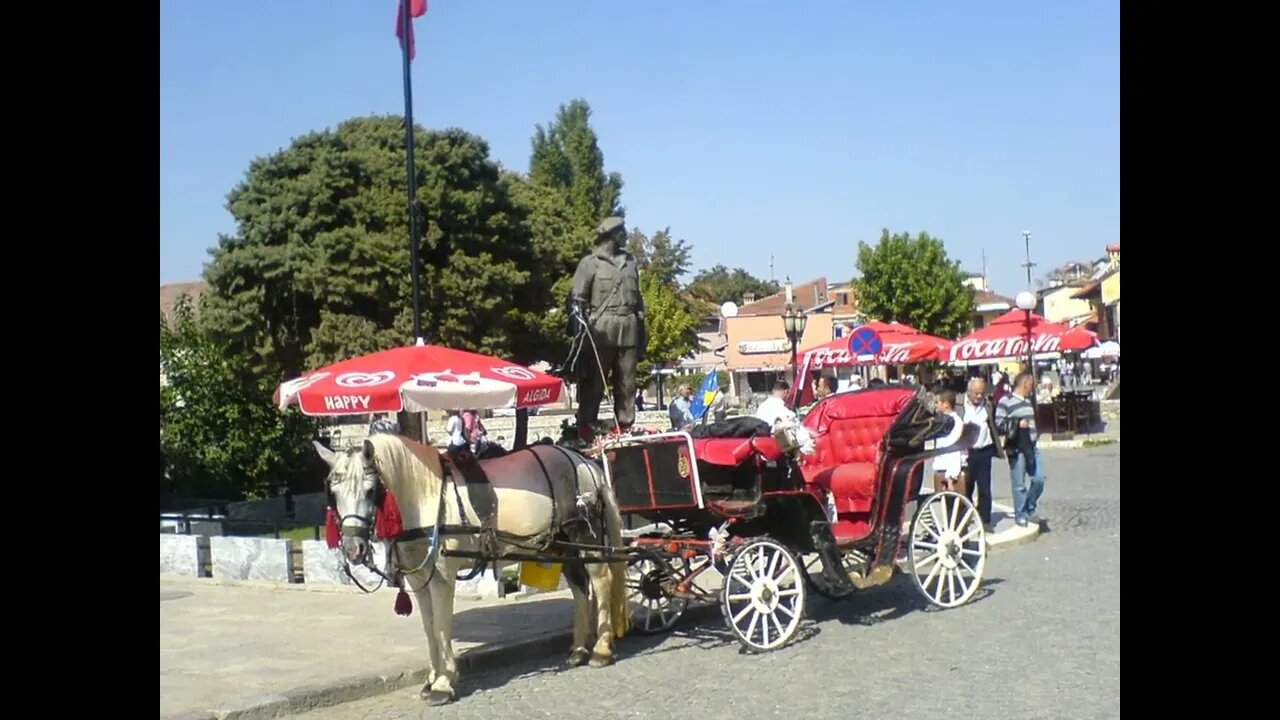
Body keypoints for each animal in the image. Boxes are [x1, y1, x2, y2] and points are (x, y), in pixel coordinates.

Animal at [312, 430, 627, 702]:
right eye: (334, 493)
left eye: (370, 490)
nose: (353, 548)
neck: (425, 496)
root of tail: (583, 461)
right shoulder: (419, 578)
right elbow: (429, 627)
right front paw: (432, 678)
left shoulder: (441, 574)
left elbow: (441, 625)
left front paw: (443, 683)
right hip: (562, 543)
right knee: (579, 587)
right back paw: (579, 649)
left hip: (583, 534)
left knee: (600, 580)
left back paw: (600, 649)